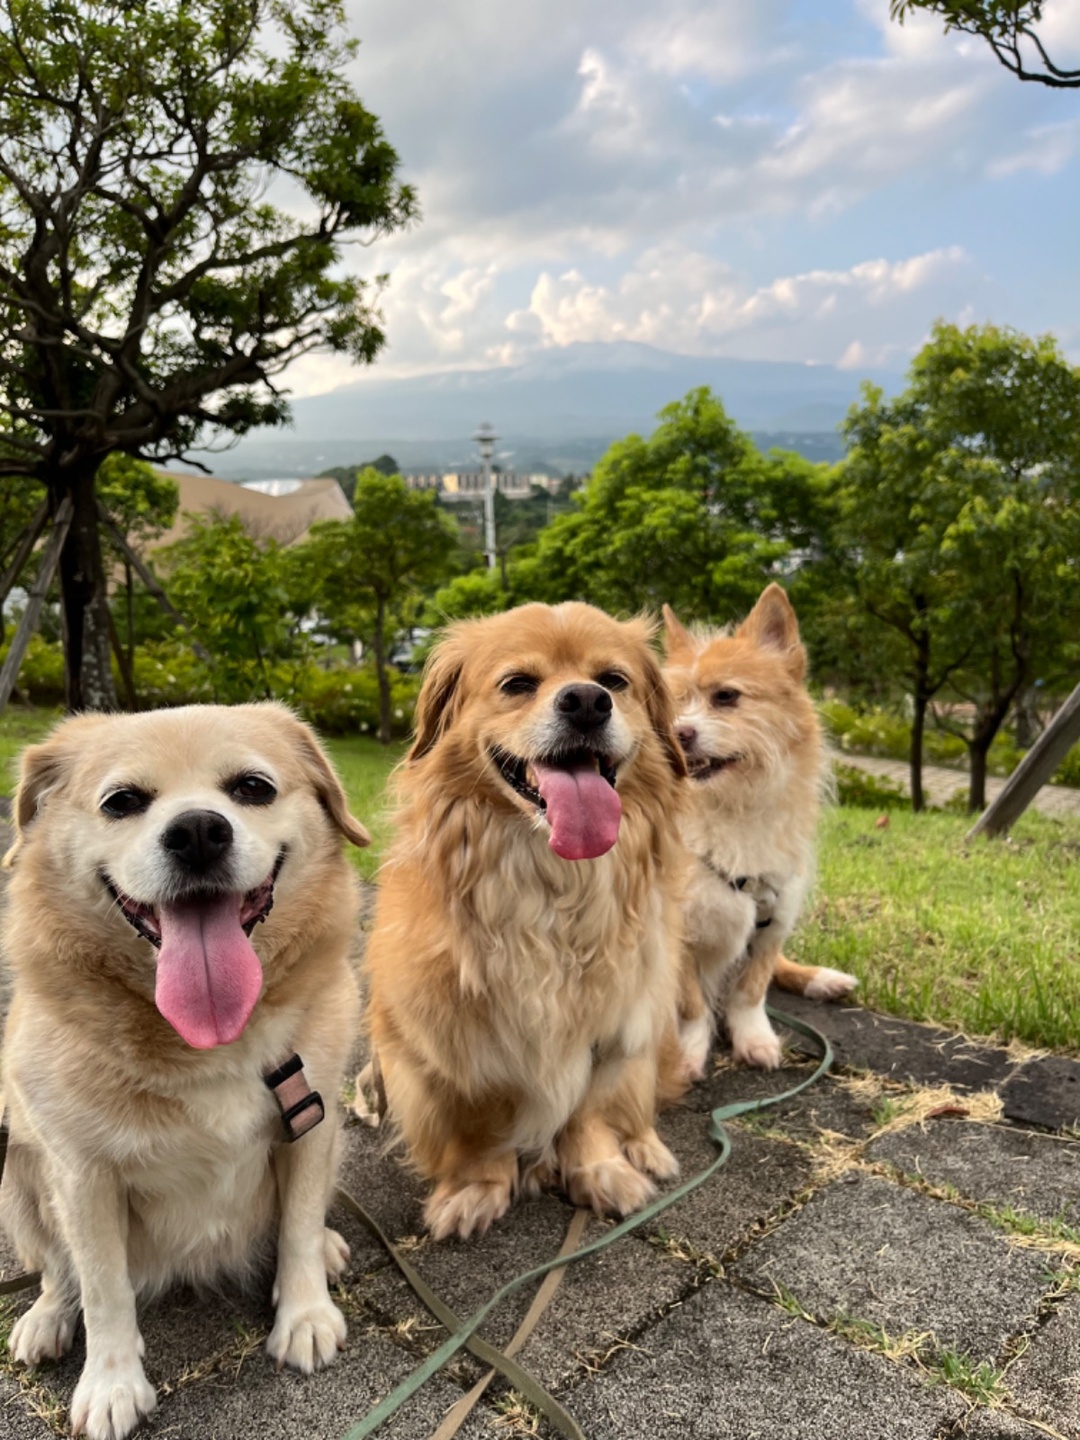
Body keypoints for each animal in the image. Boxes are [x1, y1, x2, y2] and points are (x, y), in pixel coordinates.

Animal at [0, 705, 371, 1440]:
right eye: (121, 802)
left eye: (253, 788)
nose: (198, 830)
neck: (209, 1041)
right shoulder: (80, 1176)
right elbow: (102, 1286)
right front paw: (112, 1383)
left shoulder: (313, 1126)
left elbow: (296, 1226)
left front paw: (305, 1312)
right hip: (18, 1180)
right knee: (57, 1270)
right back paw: (46, 1319)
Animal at [361, 601, 685, 1244]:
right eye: (517, 684)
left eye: (614, 681)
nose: (585, 701)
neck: (553, 886)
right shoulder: (450, 1047)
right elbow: (479, 1124)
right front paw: (477, 1186)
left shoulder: (611, 1027)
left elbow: (588, 1112)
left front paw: (599, 1169)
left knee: (639, 1105)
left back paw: (645, 1148)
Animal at [665, 578, 858, 1077]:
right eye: (670, 705)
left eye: (726, 697)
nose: (681, 733)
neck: (733, 807)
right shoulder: (678, 938)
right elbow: (691, 1004)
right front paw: (688, 1053)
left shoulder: (774, 916)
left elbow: (751, 990)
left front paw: (754, 1039)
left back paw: (822, 980)